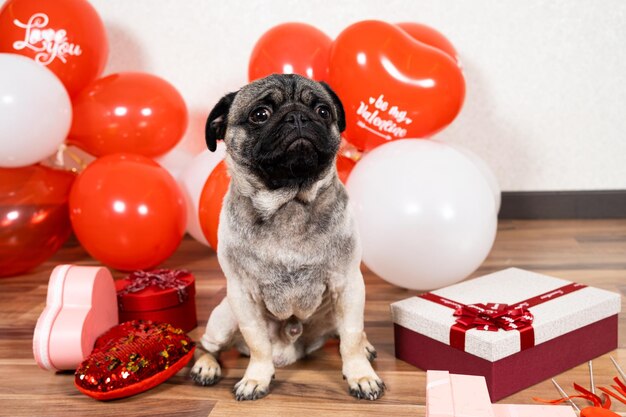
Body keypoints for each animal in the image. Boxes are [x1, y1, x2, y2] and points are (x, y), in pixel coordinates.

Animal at [189, 74, 386, 400]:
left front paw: (361, 375)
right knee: (204, 345)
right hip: (225, 316)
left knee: (346, 332)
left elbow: (351, 338)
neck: (290, 201)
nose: (298, 117)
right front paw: (256, 378)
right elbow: (258, 343)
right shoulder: (243, 295)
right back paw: (206, 366)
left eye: (323, 111)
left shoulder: (347, 284)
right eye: (260, 114)